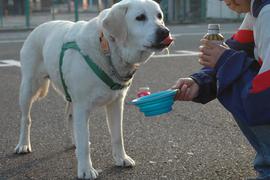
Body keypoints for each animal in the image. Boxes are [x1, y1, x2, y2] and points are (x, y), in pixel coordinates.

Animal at [14, 0, 173, 179]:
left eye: (159, 16)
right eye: (140, 17)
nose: (165, 32)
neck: (107, 48)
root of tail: (38, 27)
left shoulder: (116, 103)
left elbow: (117, 136)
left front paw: (122, 158)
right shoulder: (82, 106)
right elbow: (85, 144)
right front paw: (86, 170)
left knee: (69, 116)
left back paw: (74, 140)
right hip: (28, 87)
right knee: (26, 119)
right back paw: (23, 145)